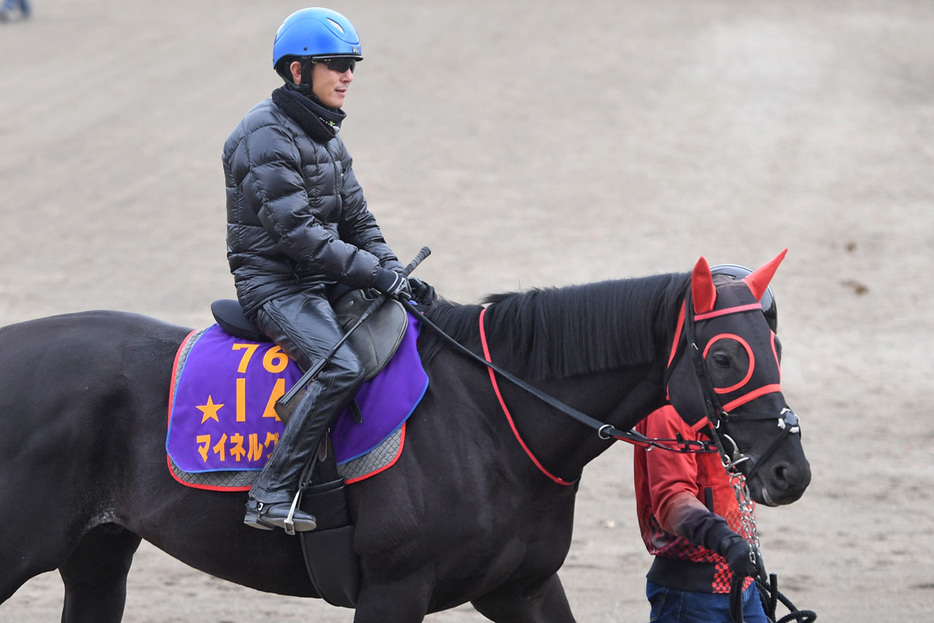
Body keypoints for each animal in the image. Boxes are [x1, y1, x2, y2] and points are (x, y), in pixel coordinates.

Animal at [0, 254, 812, 623]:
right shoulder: (394, 591)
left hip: (97, 555)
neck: (493, 420)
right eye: (726, 356)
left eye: (775, 345)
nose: (788, 471)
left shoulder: (521, 585)